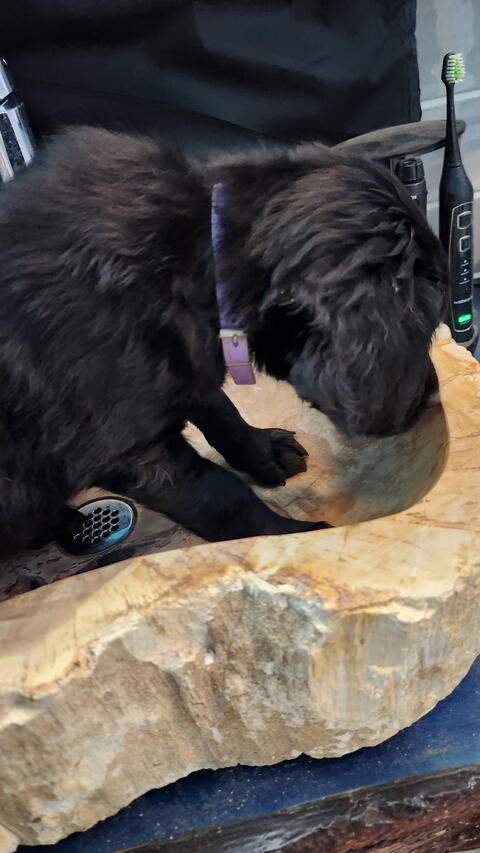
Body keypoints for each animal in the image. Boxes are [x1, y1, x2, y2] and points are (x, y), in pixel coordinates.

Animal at [0, 127, 448, 558]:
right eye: (420, 328)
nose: (432, 396)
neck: (197, 255)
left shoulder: (188, 362)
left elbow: (222, 410)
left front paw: (263, 451)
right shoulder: (133, 448)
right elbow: (219, 496)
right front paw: (288, 537)